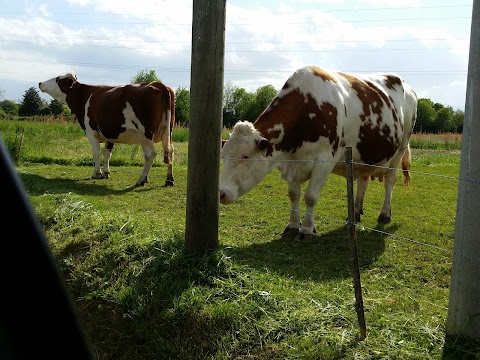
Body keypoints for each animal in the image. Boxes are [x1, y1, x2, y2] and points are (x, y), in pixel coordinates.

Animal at [39, 72, 174, 187]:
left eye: (57, 79)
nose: (40, 83)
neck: (84, 96)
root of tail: (157, 84)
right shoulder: (110, 133)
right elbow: (107, 153)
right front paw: (106, 173)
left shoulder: (91, 132)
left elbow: (96, 152)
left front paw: (97, 174)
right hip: (167, 131)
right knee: (170, 150)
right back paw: (169, 180)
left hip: (146, 133)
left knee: (150, 154)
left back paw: (141, 179)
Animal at [220, 65, 416, 239]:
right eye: (224, 157)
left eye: (245, 156)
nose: (220, 193)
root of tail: (407, 85)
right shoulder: (291, 162)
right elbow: (294, 195)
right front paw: (292, 226)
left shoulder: (324, 161)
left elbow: (310, 197)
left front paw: (307, 230)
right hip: (364, 156)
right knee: (363, 180)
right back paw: (355, 212)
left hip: (401, 146)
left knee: (390, 180)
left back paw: (384, 214)